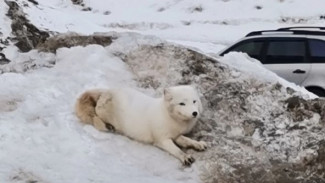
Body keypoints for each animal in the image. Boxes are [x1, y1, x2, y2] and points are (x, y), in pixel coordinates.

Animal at [75, 85, 206, 165]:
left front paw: (198, 144)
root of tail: (106, 91)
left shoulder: (176, 135)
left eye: (194, 101)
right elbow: (176, 150)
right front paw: (185, 157)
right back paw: (108, 126)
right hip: (104, 114)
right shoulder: (161, 139)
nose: (195, 113)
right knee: (96, 117)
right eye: (182, 103)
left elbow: (186, 140)